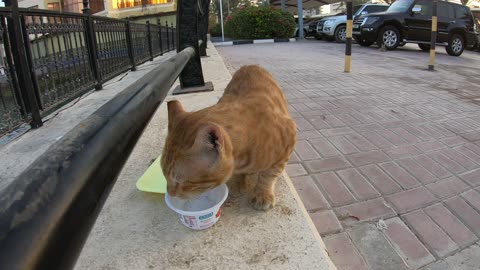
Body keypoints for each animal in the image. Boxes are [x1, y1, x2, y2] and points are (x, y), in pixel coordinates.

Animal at [162, 64, 296, 210]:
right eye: (163, 175)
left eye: (184, 182)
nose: (170, 193)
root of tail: (252, 65)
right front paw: (238, 182)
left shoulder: (289, 139)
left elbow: (269, 175)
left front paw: (263, 194)